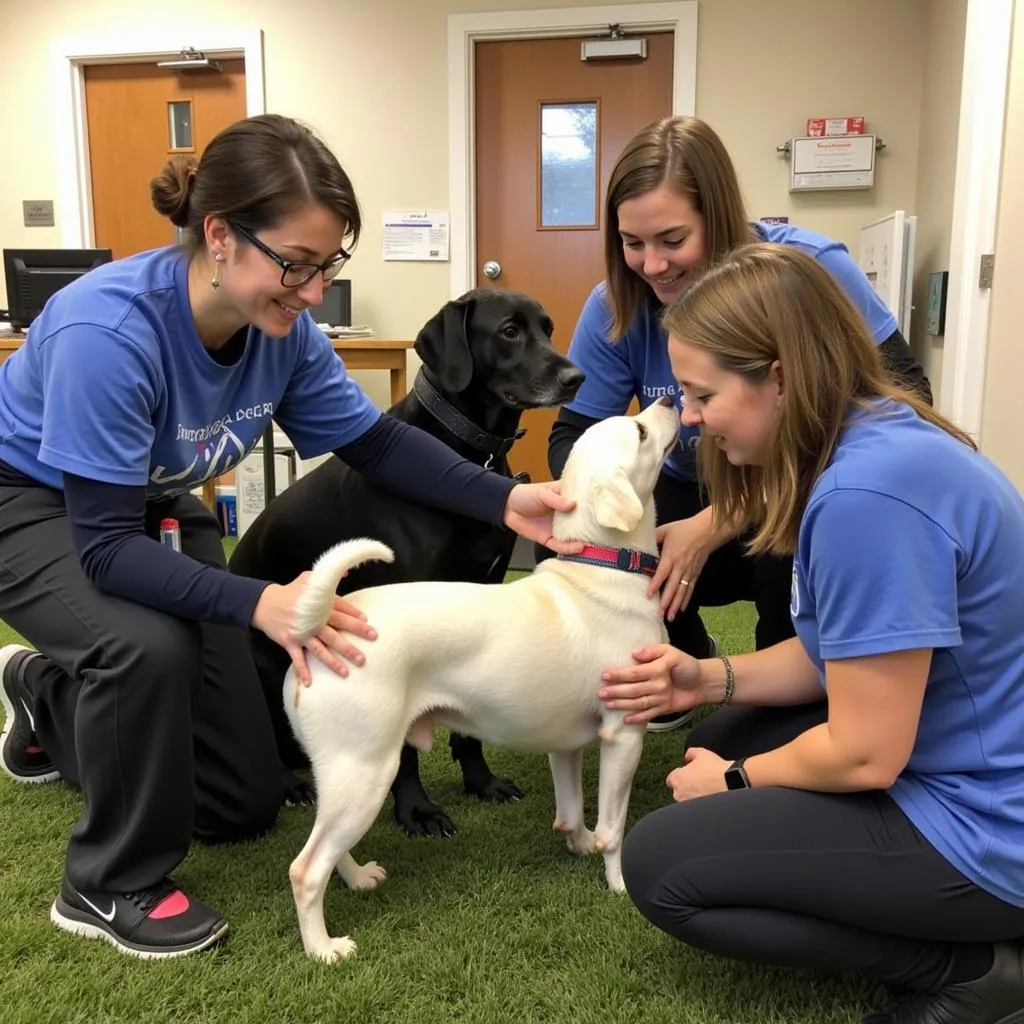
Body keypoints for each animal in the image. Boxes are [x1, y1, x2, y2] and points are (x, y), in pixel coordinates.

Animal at [284, 393, 675, 958]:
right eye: (640, 433)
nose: (667, 398)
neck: (605, 565)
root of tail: (321, 630)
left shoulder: (566, 745)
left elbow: (572, 811)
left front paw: (578, 844)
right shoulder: (624, 735)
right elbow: (613, 828)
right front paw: (620, 884)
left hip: (339, 777)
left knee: (328, 850)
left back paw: (358, 879)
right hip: (366, 772)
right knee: (306, 869)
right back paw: (323, 948)